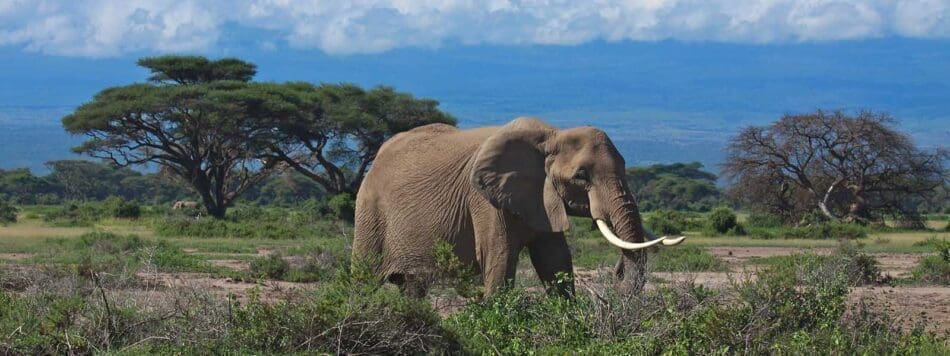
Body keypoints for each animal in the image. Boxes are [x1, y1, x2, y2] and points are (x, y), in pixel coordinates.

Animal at [350, 117, 684, 298]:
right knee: (364, 278)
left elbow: (555, 260)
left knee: (413, 288)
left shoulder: (541, 197)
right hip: (368, 211)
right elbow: (499, 258)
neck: (551, 137)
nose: (616, 273)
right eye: (581, 176)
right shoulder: (483, 200)